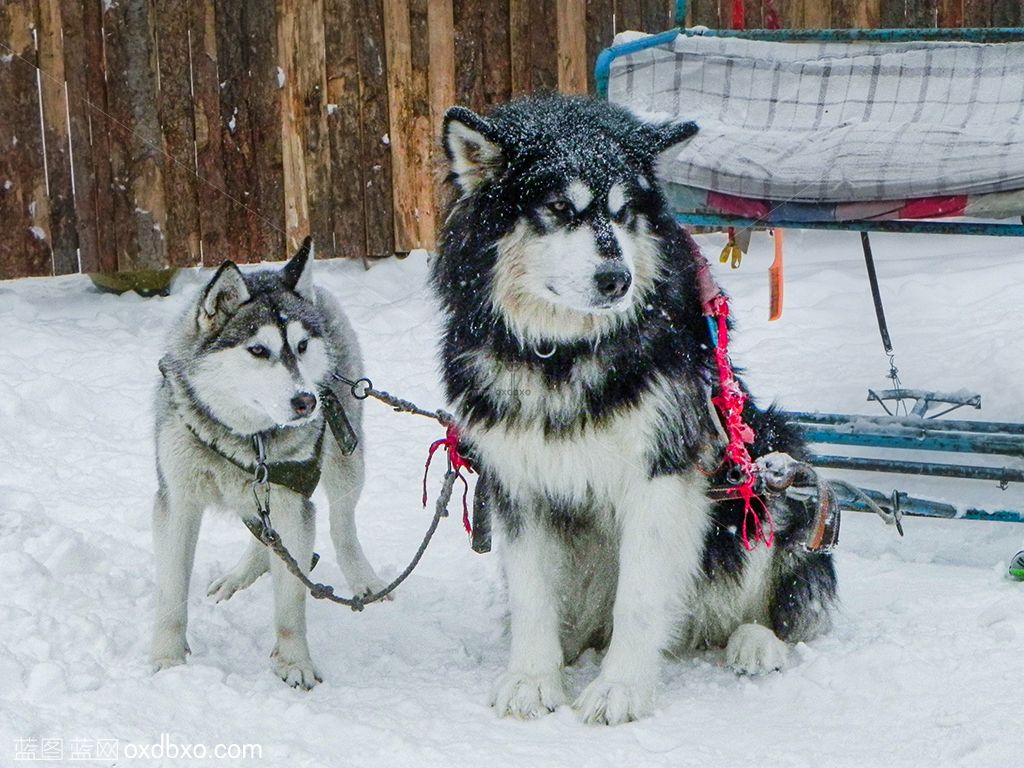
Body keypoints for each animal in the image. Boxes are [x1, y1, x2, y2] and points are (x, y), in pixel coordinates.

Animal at [148, 241, 380, 692]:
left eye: (302, 346)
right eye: (258, 350)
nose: (306, 401)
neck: (244, 436)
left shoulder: (294, 500)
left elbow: (291, 603)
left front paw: (294, 663)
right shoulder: (177, 500)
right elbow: (169, 592)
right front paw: (167, 659)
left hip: (345, 459)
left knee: (342, 526)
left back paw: (365, 579)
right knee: (264, 533)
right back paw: (237, 577)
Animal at [434, 97, 839, 729]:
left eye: (625, 213)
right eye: (558, 209)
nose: (616, 279)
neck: (565, 355)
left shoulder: (660, 476)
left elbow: (641, 598)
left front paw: (620, 687)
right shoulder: (515, 481)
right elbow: (530, 592)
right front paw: (533, 677)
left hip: (767, 456)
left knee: (776, 591)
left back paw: (755, 641)